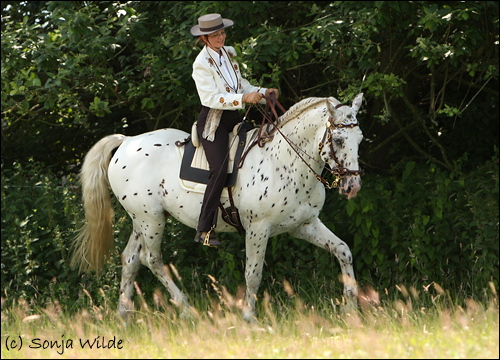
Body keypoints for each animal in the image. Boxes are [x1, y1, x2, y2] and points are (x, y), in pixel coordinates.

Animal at [71, 93, 364, 320]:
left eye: (359, 138)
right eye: (339, 140)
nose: (353, 185)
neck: (283, 161)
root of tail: (127, 141)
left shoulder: (304, 225)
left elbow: (344, 251)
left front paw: (350, 306)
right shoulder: (258, 229)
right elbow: (253, 274)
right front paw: (249, 317)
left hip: (141, 220)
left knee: (131, 258)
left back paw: (124, 314)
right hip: (151, 220)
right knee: (150, 259)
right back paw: (185, 308)